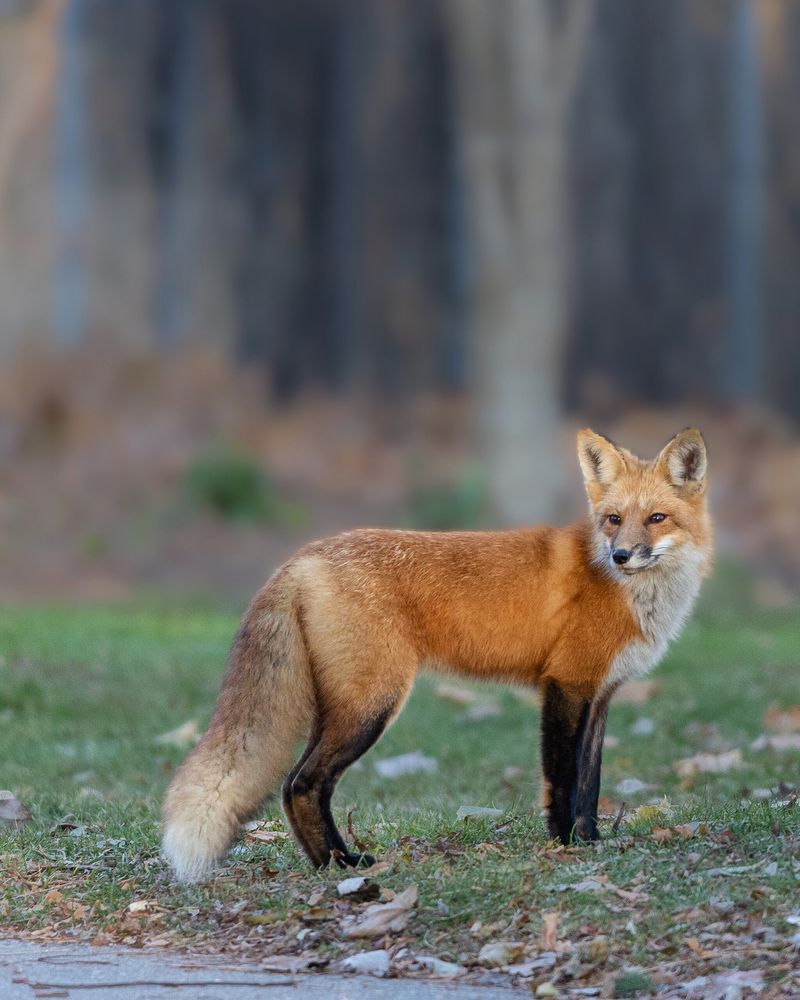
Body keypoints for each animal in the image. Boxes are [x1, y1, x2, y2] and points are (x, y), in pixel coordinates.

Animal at [162, 427, 712, 881]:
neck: (630, 593)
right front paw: (566, 845)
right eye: (614, 520)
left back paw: (325, 862)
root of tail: (303, 556)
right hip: (371, 706)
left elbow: (590, 784)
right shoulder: (566, 685)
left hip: (339, 706)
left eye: (656, 518)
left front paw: (591, 840)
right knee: (302, 784)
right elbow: (563, 780)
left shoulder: (599, 695)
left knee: (291, 787)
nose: (621, 555)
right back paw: (343, 864)